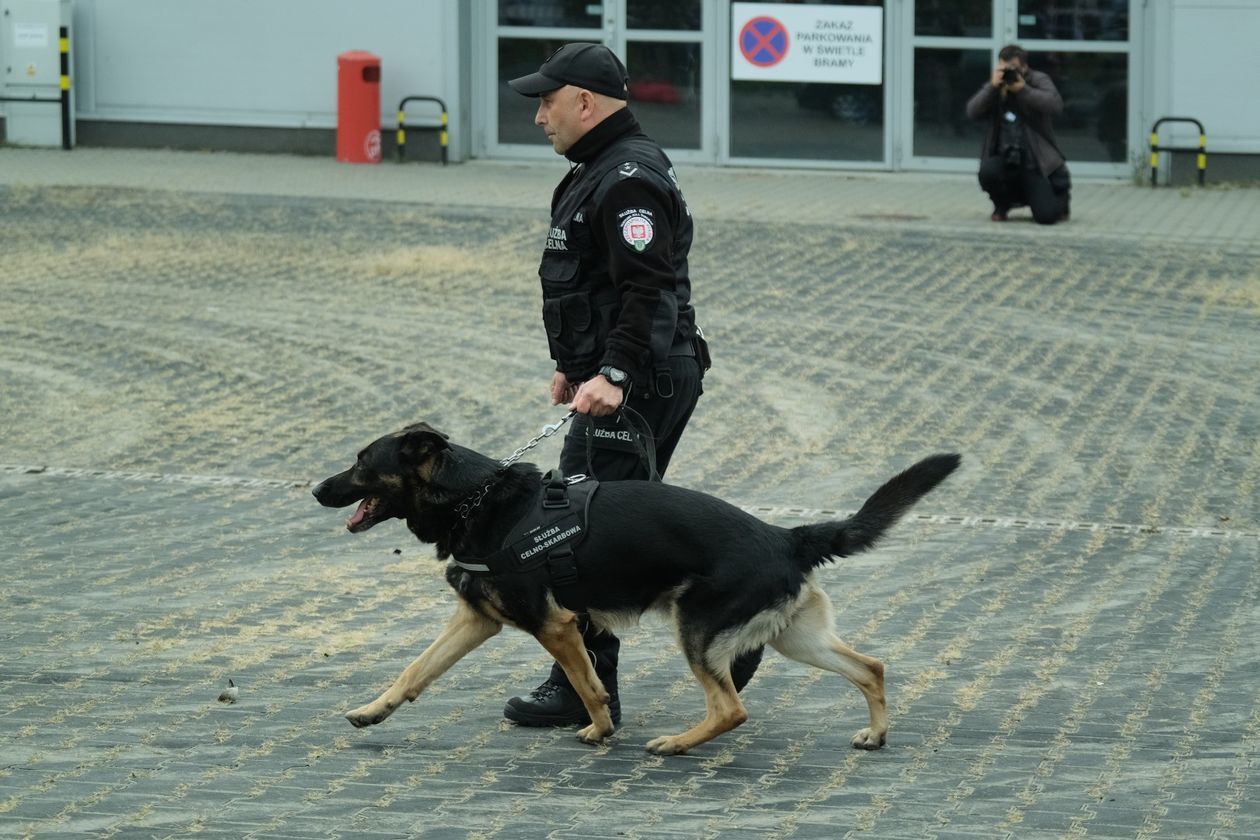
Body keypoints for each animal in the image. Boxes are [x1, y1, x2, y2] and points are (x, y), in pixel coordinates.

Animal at [312, 423, 952, 760]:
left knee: (731, 707)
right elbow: (414, 671)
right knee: (870, 667)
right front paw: (373, 711)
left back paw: (676, 743)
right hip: (796, 638)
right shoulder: (476, 620)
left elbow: (588, 685)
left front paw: (599, 731)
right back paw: (877, 733)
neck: (473, 497)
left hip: (698, 632)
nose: (317, 490)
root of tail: (784, 535)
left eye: (361, 463)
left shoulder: (555, 625)